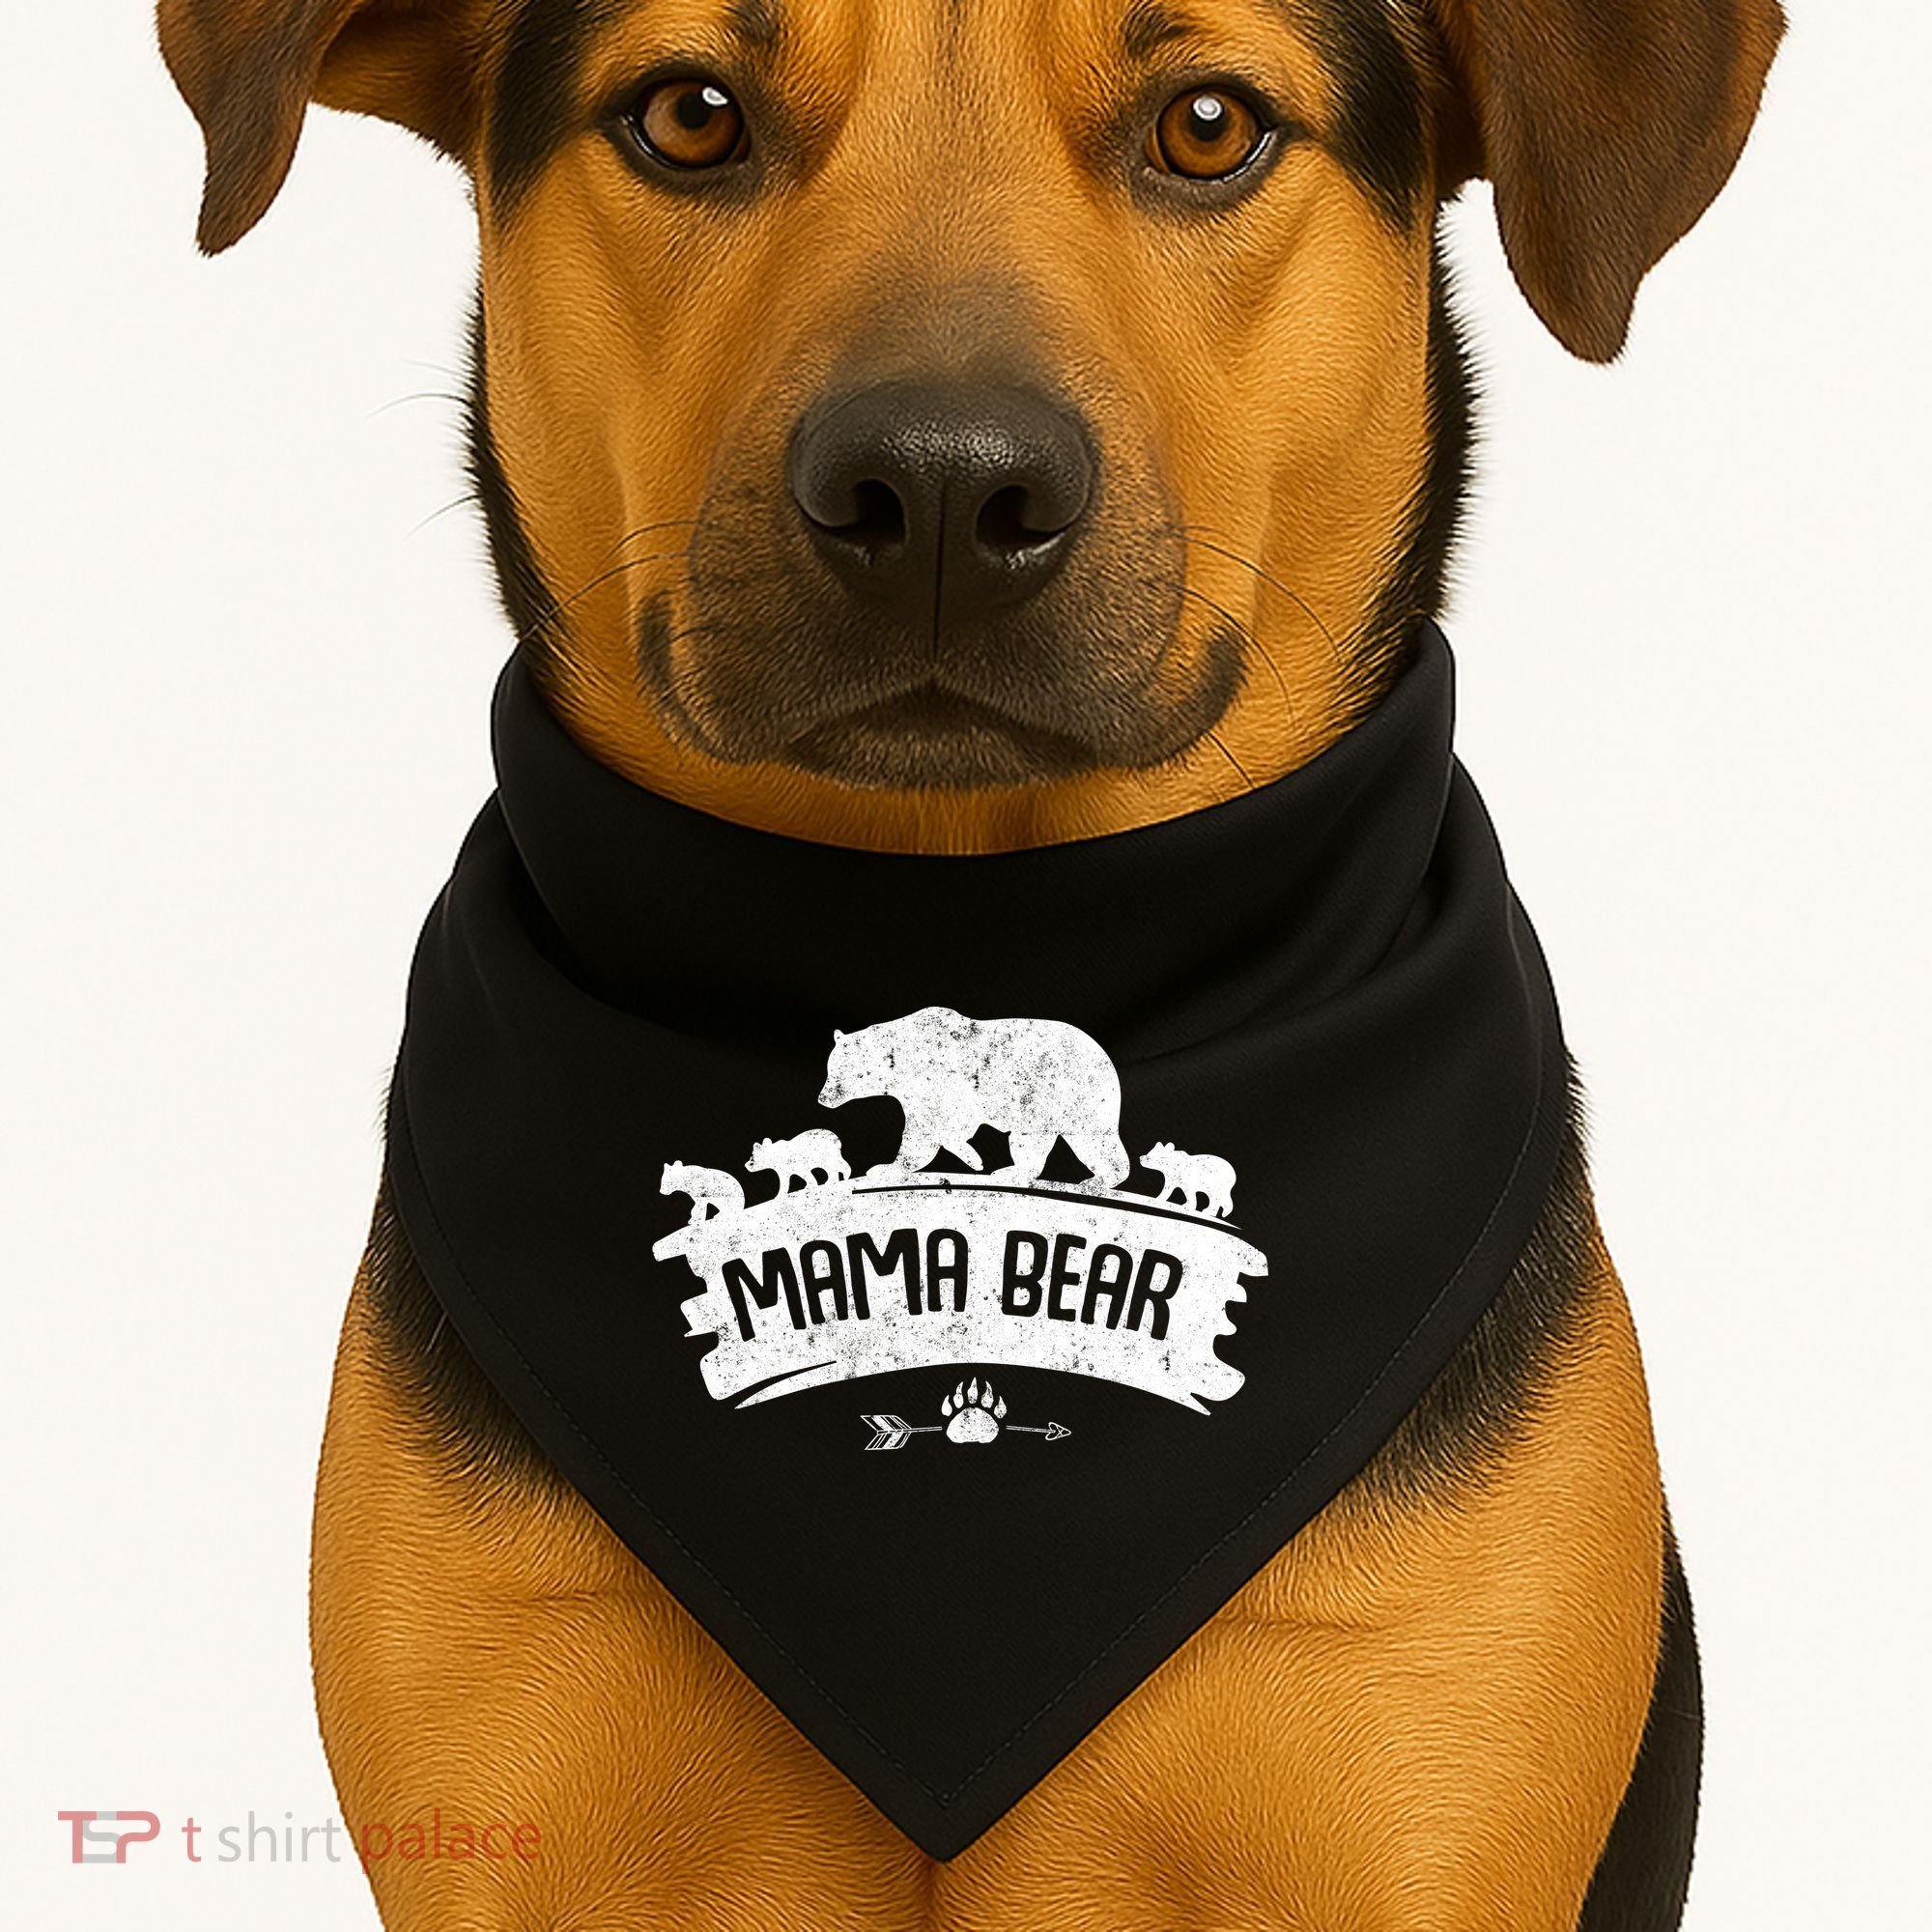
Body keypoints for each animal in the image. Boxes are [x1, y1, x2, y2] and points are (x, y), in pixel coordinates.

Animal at [817, 1006, 1131, 1191]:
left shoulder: (940, 1083)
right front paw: (972, 1156)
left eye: (849, 1074)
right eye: (830, 1069)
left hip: (1058, 1097)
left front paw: (886, 1167)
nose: (823, 1098)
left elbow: (929, 1130)